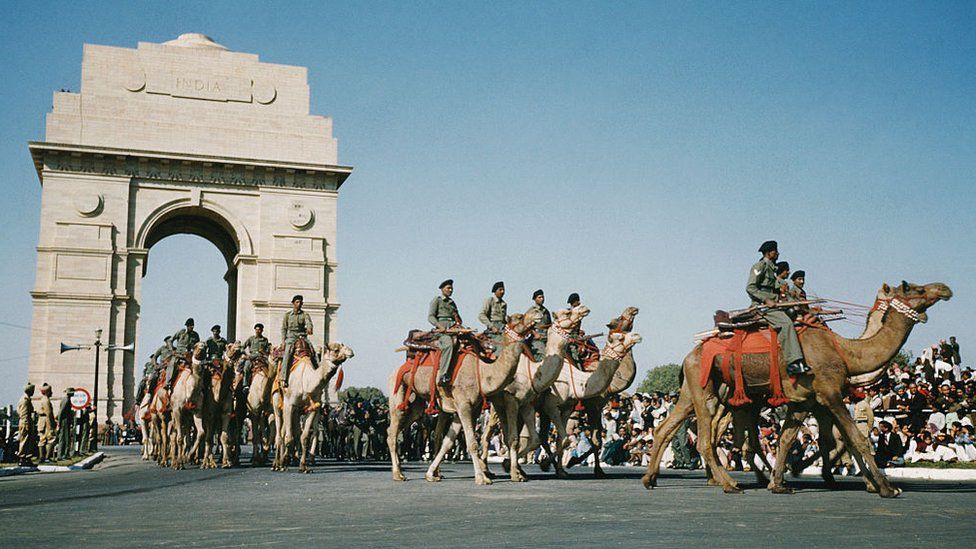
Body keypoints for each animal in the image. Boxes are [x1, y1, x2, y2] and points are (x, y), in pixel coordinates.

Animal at [270, 338, 354, 470]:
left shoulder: (312, 408)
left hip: (296, 411)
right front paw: (284, 462)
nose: (351, 351)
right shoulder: (289, 404)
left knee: (290, 431)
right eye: (336, 350)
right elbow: (289, 437)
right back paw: (277, 464)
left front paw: (303, 466)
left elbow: (304, 437)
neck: (306, 381)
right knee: (279, 433)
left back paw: (290, 460)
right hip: (277, 402)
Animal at [386, 312, 536, 484]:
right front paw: (482, 478)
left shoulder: (466, 408)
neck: (482, 372)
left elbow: (448, 442)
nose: (535, 315)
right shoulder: (464, 405)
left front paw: (431, 474)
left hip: (416, 400)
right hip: (397, 389)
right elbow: (472, 443)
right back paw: (397, 474)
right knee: (394, 429)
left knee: (401, 425)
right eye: (519, 317)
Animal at [482, 304, 592, 480]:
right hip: (495, 407)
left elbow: (535, 440)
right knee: (487, 434)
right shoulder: (514, 400)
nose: (584, 308)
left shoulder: (529, 404)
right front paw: (513, 470)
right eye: (568, 312)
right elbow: (515, 438)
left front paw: (515, 467)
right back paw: (486, 470)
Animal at [528, 330, 644, 476]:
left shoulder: (597, 409)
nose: (637, 336)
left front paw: (594, 468)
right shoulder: (592, 406)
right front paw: (577, 463)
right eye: (622, 336)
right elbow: (594, 441)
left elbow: (596, 440)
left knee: (543, 436)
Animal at [640, 280, 952, 498]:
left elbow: (791, 439)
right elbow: (855, 439)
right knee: (709, 439)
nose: (944, 288)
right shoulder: (829, 394)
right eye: (912, 287)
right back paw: (728, 483)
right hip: (707, 389)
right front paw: (886, 488)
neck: (847, 353)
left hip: (694, 390)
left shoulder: (805, 400)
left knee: (669, 428)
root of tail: (689, 356)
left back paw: (652, 479)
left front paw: (781, 482)